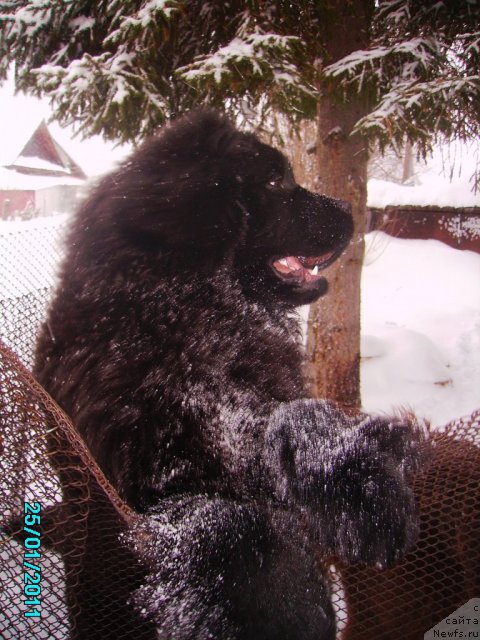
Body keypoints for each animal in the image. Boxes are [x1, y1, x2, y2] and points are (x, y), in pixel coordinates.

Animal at [35, 111, 422, 640]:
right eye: (277, 182)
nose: (352, 208)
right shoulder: (155, 470)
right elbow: (228, 520)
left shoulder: (245, 408)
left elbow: (291, 417)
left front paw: (364, 485)